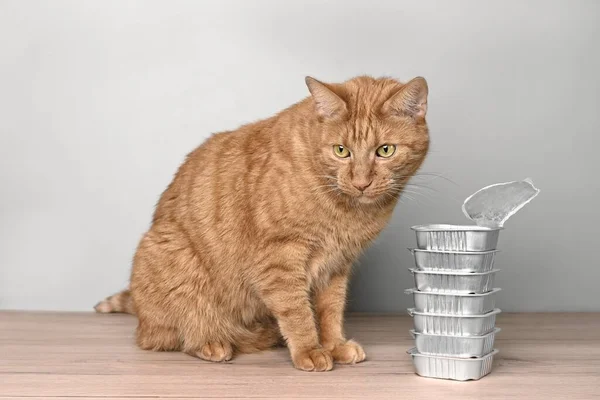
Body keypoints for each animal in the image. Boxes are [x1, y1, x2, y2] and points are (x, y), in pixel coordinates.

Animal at [96, 76, 428, 372]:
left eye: (385, 150)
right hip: (174, 256)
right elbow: (297, 312)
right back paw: (213, 342)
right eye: (341, 151)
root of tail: (139, 311)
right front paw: (309, 350)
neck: (346, 210)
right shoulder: (279, 260)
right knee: (170, 335)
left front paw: (333, 345)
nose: (361, 183)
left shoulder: (335, 267)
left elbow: (330, 311)